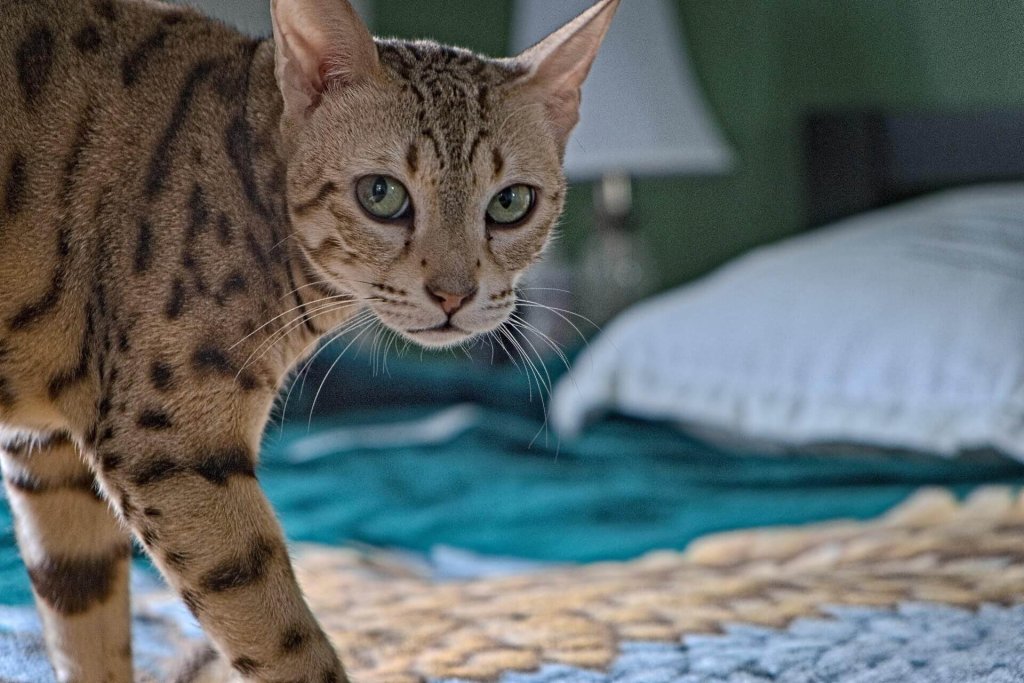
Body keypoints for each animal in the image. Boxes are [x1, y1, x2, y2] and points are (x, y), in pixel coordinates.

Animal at [0, 0, 618, 679]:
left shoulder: (50, 455)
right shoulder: (167, 445)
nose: (453, 295)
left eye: (511, 203)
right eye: (381, 194)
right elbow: (283, 639)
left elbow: (84, 622)